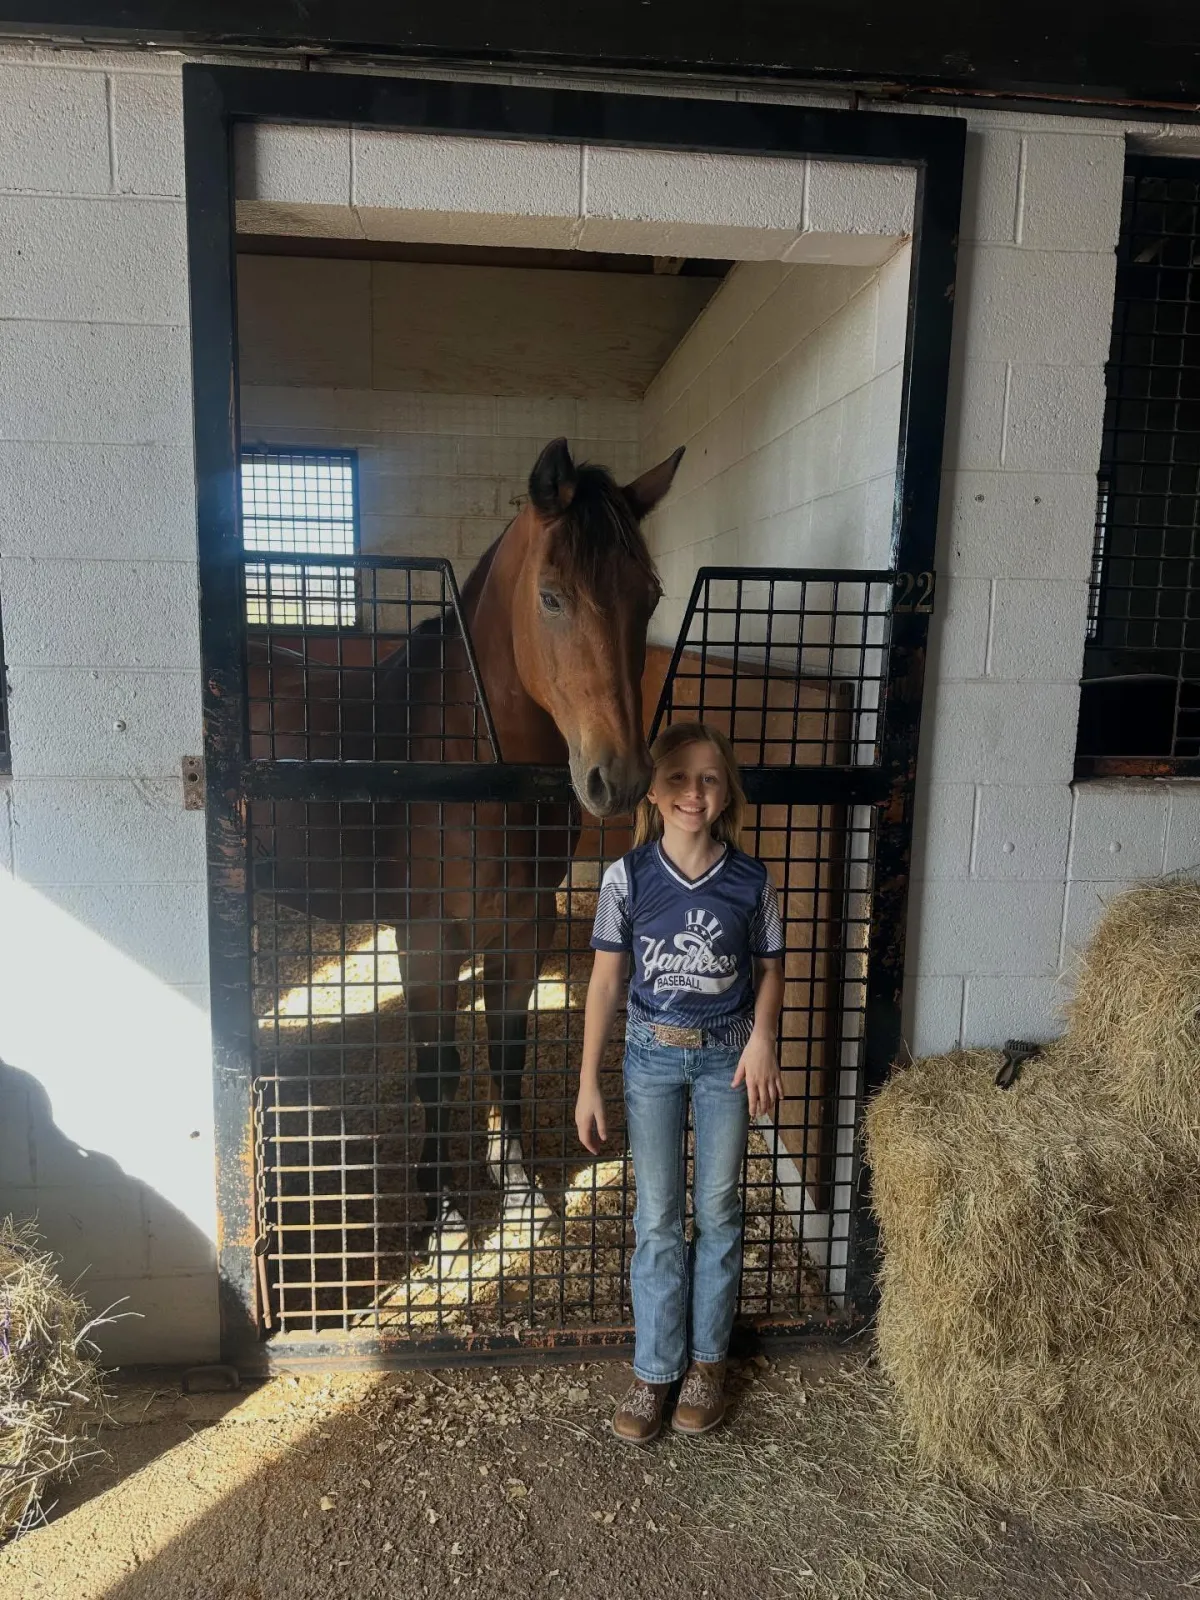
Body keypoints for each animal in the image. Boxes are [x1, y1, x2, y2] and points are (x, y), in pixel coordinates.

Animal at [257, 437, 684, 1249]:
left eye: (649, 596)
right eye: (551, 597)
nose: (617, 778)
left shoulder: (523, 932)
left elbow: (507, 1056)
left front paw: (518, 1193)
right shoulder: (427, 944)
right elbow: (439, 1068)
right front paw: (443, 1213)